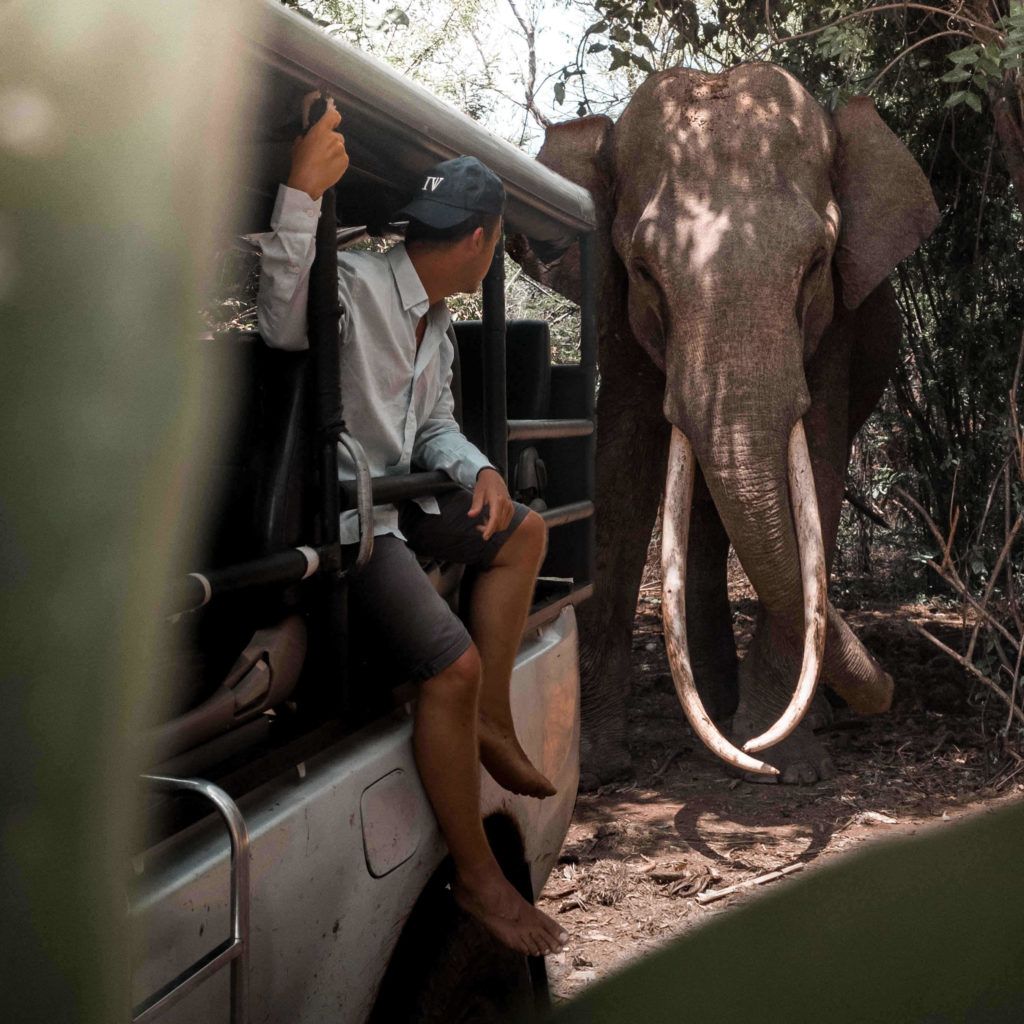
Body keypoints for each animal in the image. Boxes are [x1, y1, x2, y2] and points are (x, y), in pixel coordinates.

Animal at [516, 64, 937, 782]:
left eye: (817, 263)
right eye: (643, 269)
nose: (888, 689)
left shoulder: (837, 330)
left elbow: (819, 464)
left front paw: (787, 766)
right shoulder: (620, 320)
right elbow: (620, 469)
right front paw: (596, 769)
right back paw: (718, 706)